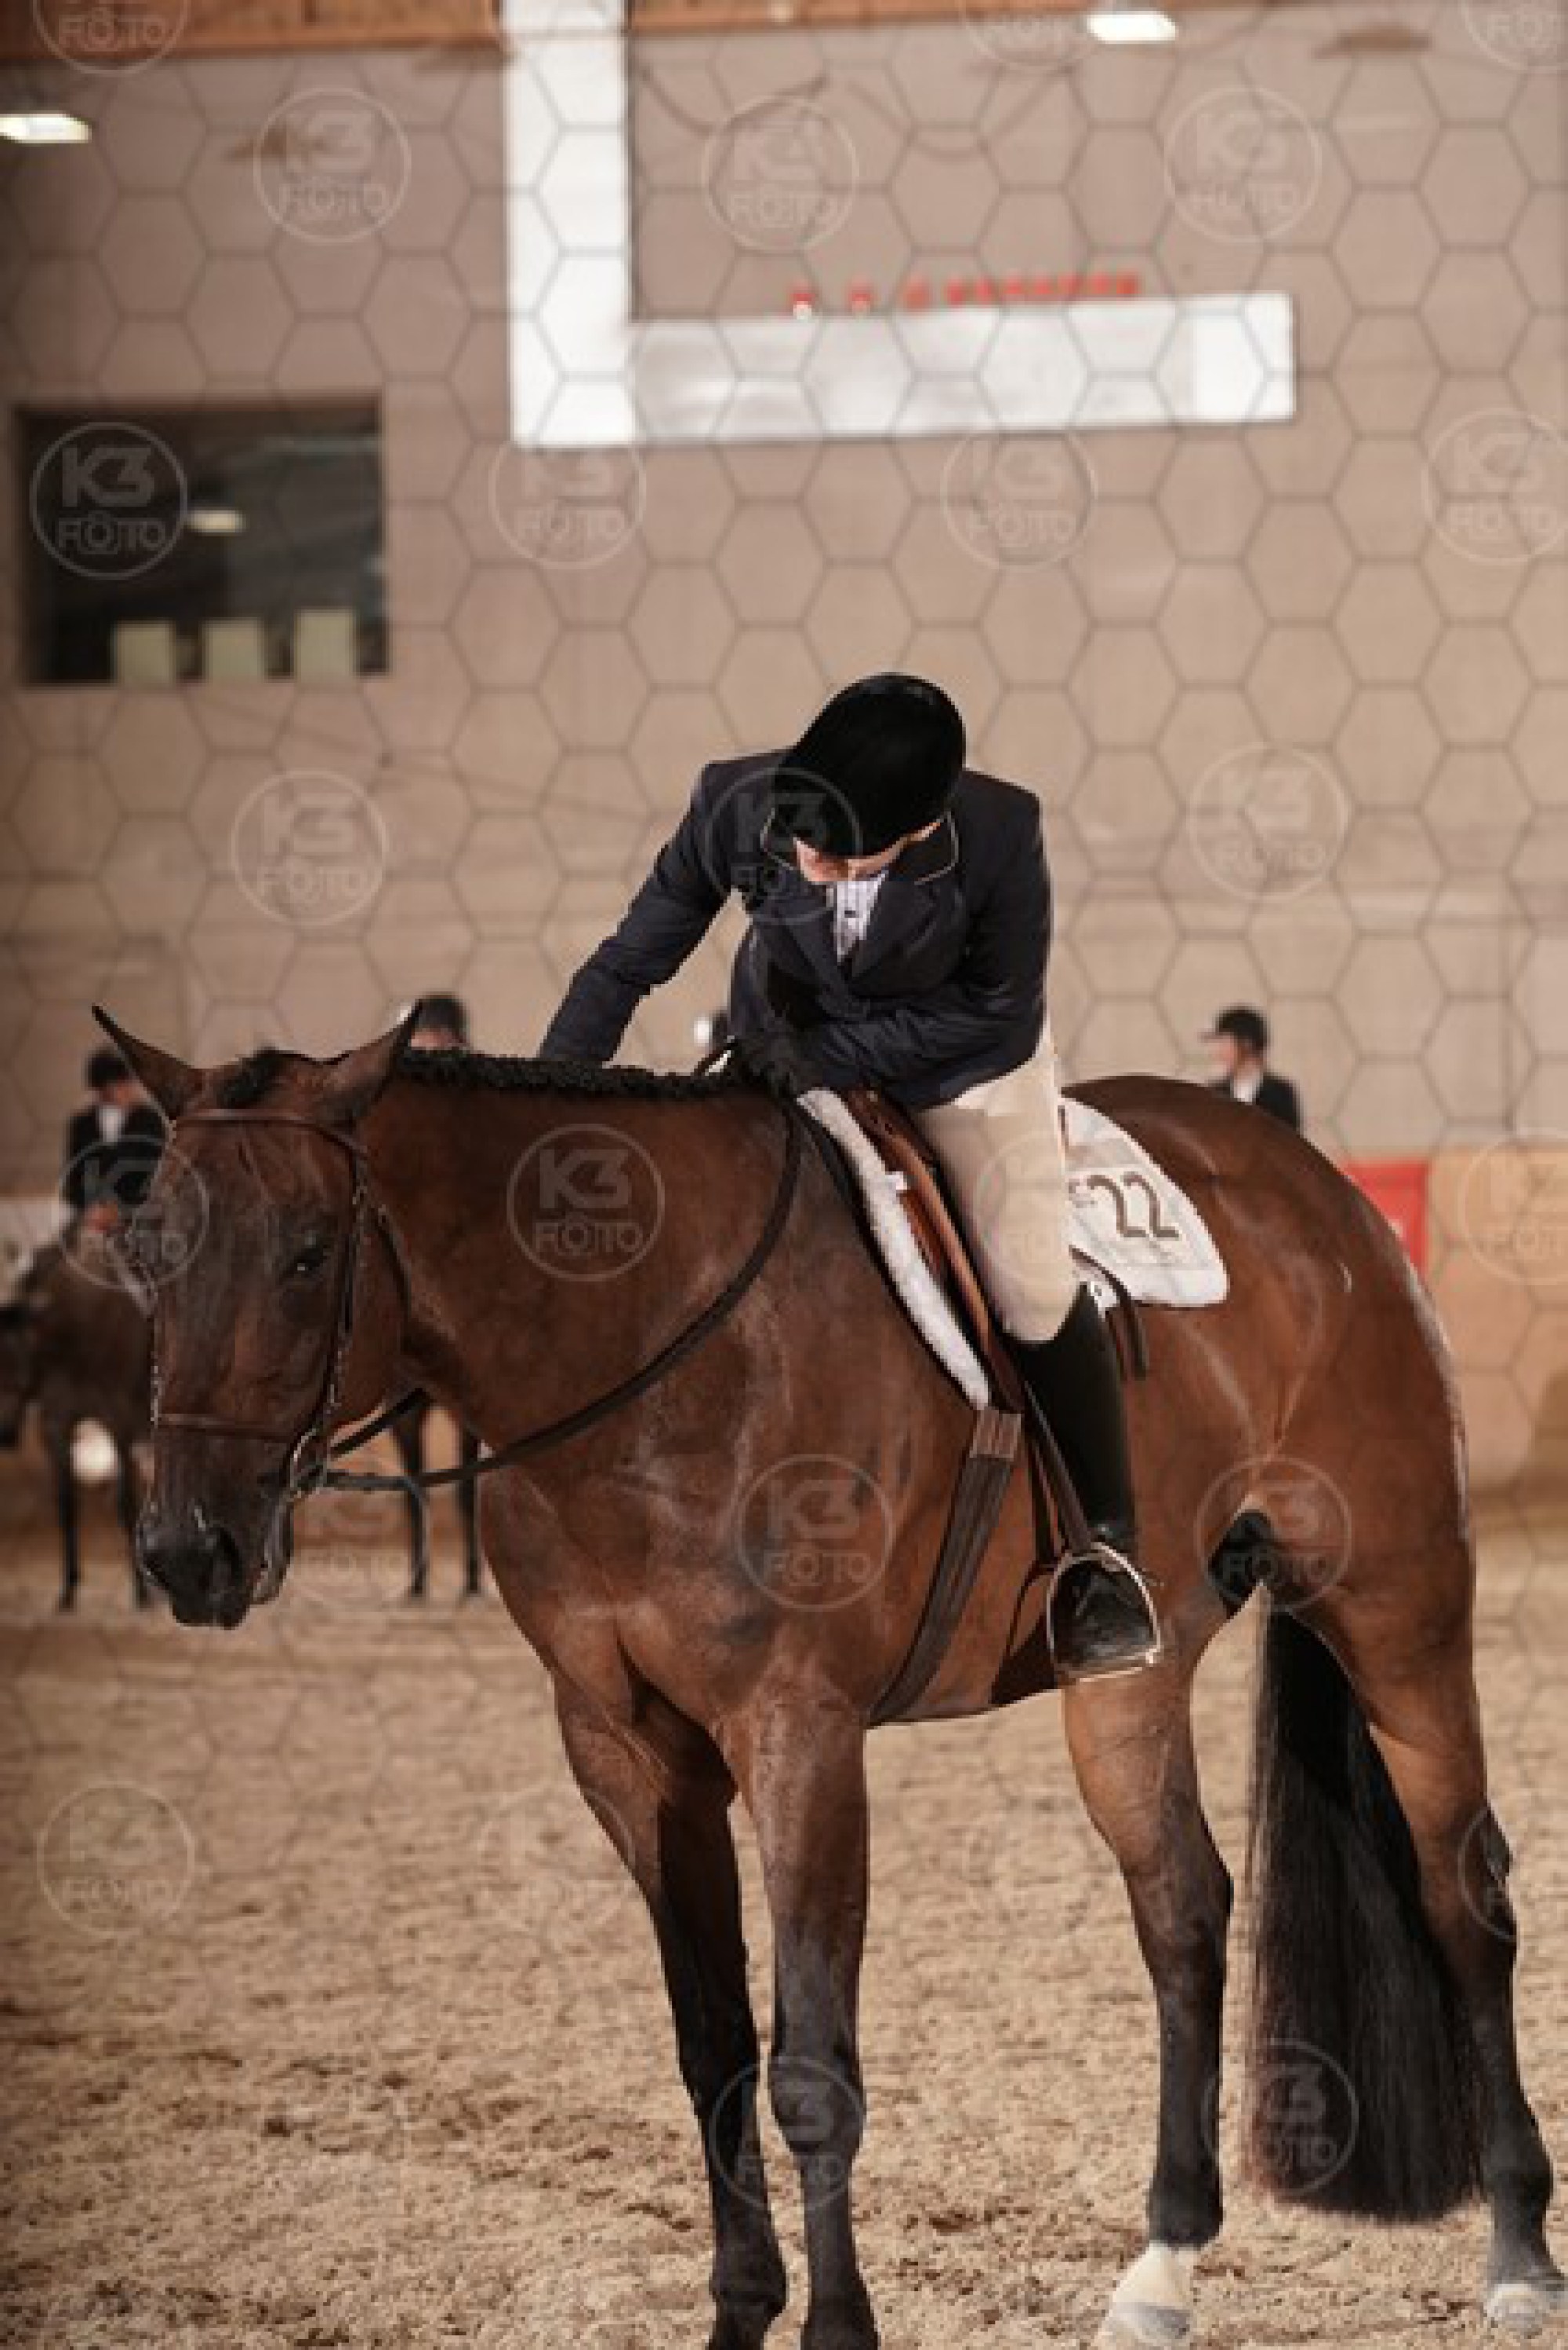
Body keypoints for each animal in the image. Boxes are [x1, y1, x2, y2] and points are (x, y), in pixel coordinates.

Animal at [0, 1235, 152, 1611]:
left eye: (13, 1363)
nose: (4, 1434)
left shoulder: (118, 1421)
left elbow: (126, 1502)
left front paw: (141, 1592)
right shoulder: (55, 1425)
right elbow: (66, 1503)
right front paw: (68, 1588)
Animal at [96, 1006, 1563, 2349]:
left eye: (305, 1254)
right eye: (147, 1249)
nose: (185, 1550)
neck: (641, 1353)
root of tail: (1317, 1187)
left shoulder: (797, 1733)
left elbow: (810, 2062)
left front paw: (837, 2326)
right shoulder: (625, 1753)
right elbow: (711, 2046)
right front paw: (739, 2312)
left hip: (1395, 1608)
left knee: (1463, 1895)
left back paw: (1516, 2253)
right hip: (1128, 1680)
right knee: (1184, 1912)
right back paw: (1161, 2268)